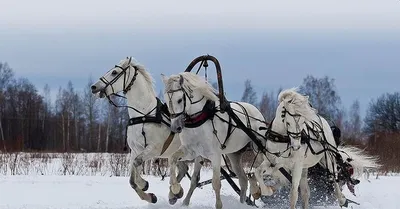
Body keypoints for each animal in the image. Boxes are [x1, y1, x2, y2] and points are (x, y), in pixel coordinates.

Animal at [90, 57, 205, 206]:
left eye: (114, 72)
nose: (94, 87)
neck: (144, 114)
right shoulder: (135, 150)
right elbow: (132, 179)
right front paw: (150, 196)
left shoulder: (153, 149)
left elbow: (137, 163)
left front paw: (143, 183)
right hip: (176, 153)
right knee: (183, 169)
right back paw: (174, 194)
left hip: (198, 155)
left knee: (194, 180)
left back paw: (183, 200)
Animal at [161, 72, 268, 209]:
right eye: (166, 100)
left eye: (179, 99)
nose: (175, 127)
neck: (200, 120)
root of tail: (256, 110)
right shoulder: (191, 151)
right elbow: (174, 160)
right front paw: (176, 192)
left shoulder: (215, 155)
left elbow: (216, 183)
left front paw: (218, 205)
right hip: (234, 155)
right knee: (243, 180)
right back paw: (242, 202)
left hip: (257, 148)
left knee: (260, 169)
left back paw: (256, 189)